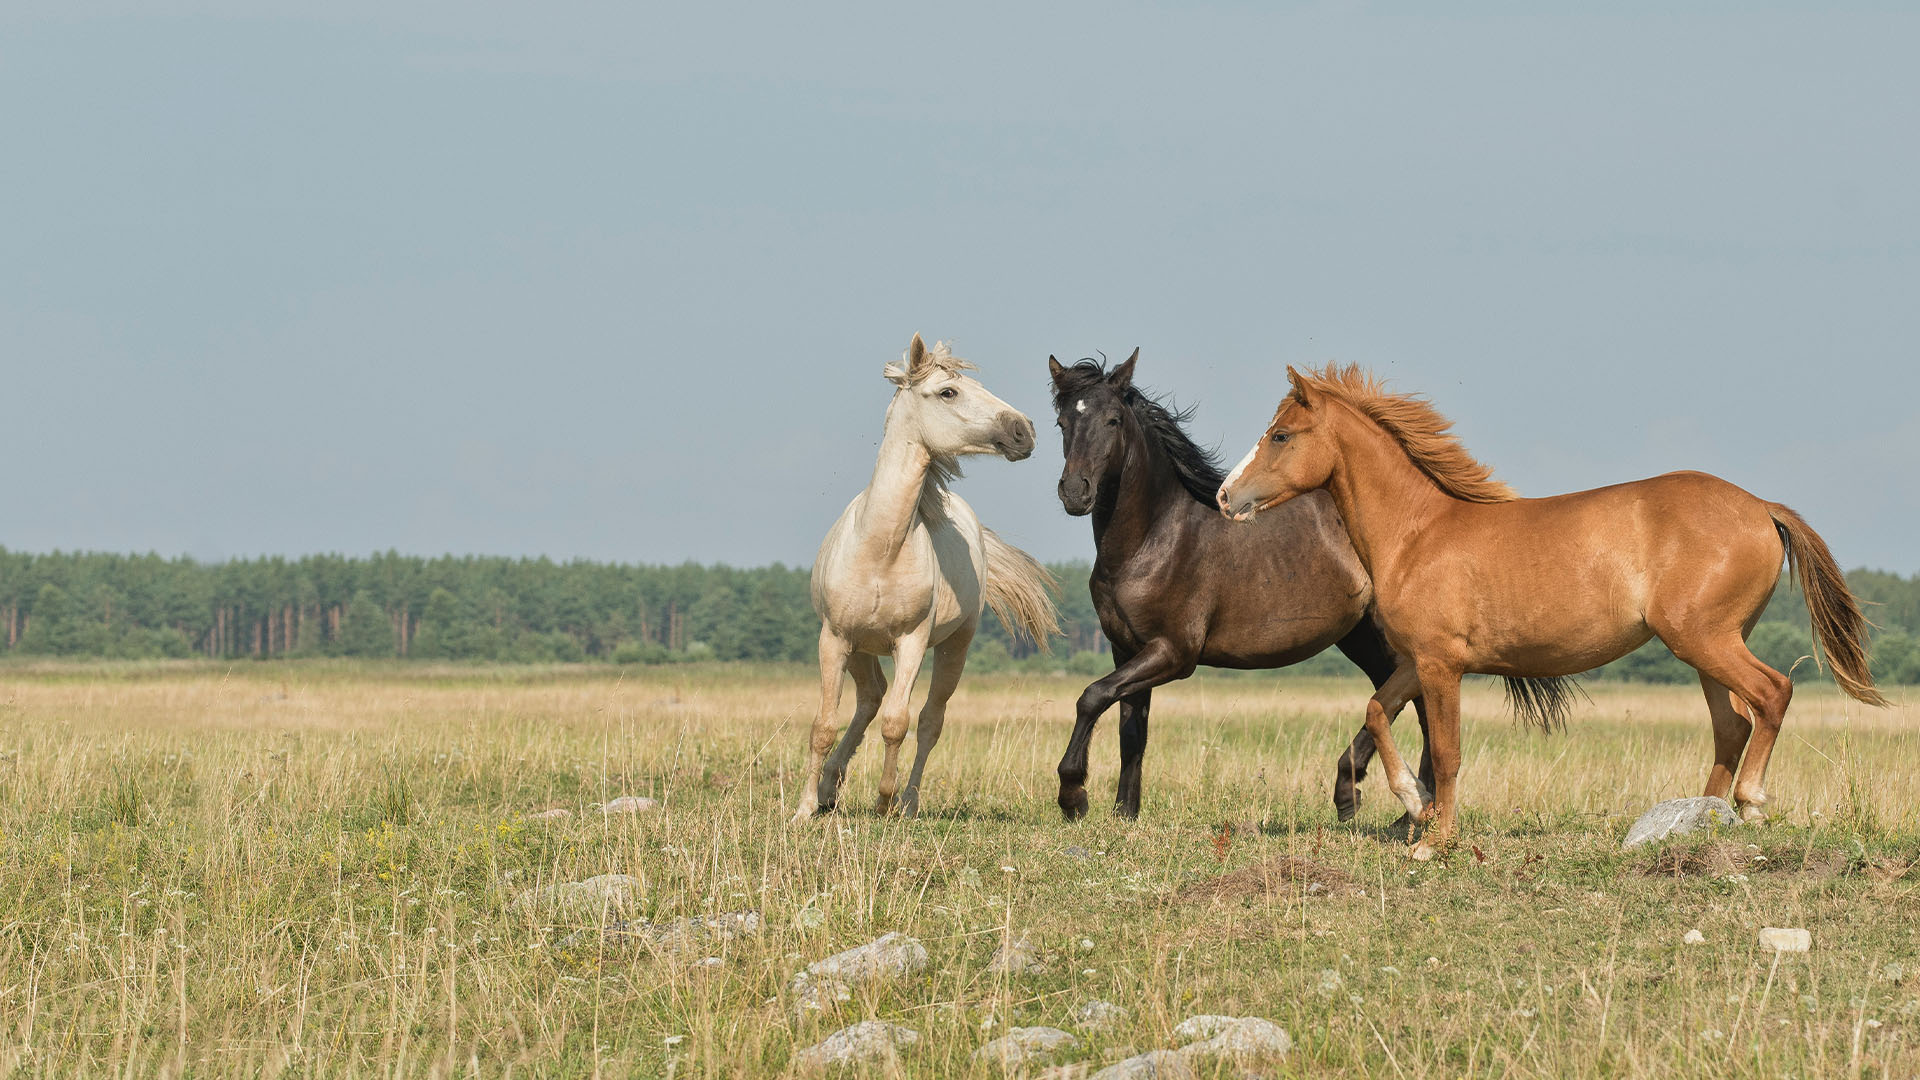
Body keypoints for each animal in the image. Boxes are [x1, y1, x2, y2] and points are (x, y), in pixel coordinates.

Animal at [793, 334, 1060, 822]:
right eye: (948, 392)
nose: (1024, 430)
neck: (880, 550)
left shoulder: (912, 642)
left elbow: (897, 723)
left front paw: (884, 801)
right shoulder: (834, 638)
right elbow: (823, 724)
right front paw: (804, 809)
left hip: (955, 646)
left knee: (928, 720)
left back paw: (908, 801)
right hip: (860, 647)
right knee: (869, 698)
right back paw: (828, 788)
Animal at [1050, 351, 1573, 823]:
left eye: (1114, 419)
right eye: (1061, 422)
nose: (1075, 493)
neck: (1156, 539)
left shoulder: (1174, 653)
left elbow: (1091, 697)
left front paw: (1073, 796)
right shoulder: (1127, 648)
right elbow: (1130, 731)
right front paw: (1124, 814)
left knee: (1417, 707)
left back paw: (1380, 803)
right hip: (1364, 639)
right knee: (1408, 704)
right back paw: (1395, 807)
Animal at [1217, 363, 1887, 859]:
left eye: (1280, 435)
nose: (1226, 497)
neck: (1418, 533)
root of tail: (1760, 506)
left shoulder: (1441, 665)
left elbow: (1448, 751)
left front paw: (1435, 840)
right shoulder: (1416, 661)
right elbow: (1378, 712)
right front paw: (1413, 803)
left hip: (1706, 640)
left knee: (1772, 694)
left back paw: (1749, 804)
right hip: (1706, 648)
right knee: (1733, 724)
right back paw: (1699, 819)